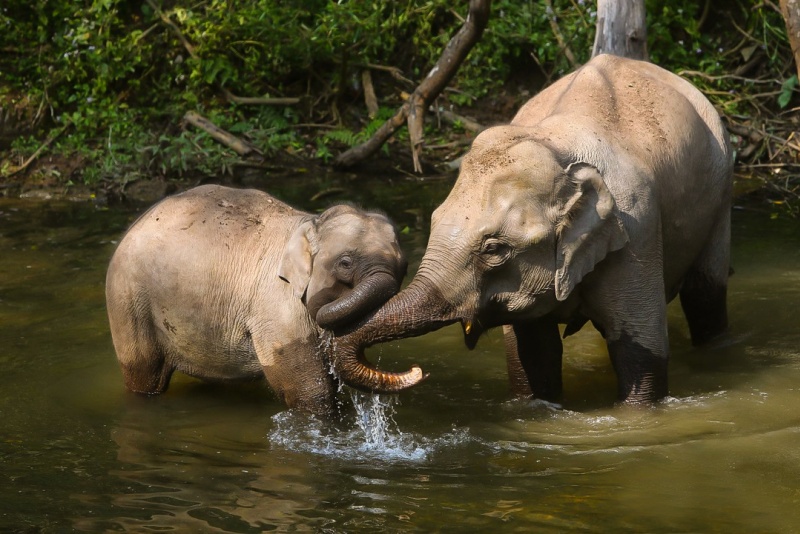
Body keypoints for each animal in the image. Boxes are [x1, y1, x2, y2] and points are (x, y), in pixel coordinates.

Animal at [106, 185, 424, 418]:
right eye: (345, 263)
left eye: (405, 267)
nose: (417, 370)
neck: (310, 223)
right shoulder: (276, 306)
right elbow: (311, 392)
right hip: (127, 299)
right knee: (144, 376)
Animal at [334, 55, 736, 406]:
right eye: (433, 220)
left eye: (494, 249)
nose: (416, 370)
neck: (558, 146)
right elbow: (533, 356)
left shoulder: (638, 227)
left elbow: (640, 353)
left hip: (721, 191)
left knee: (704, 295)